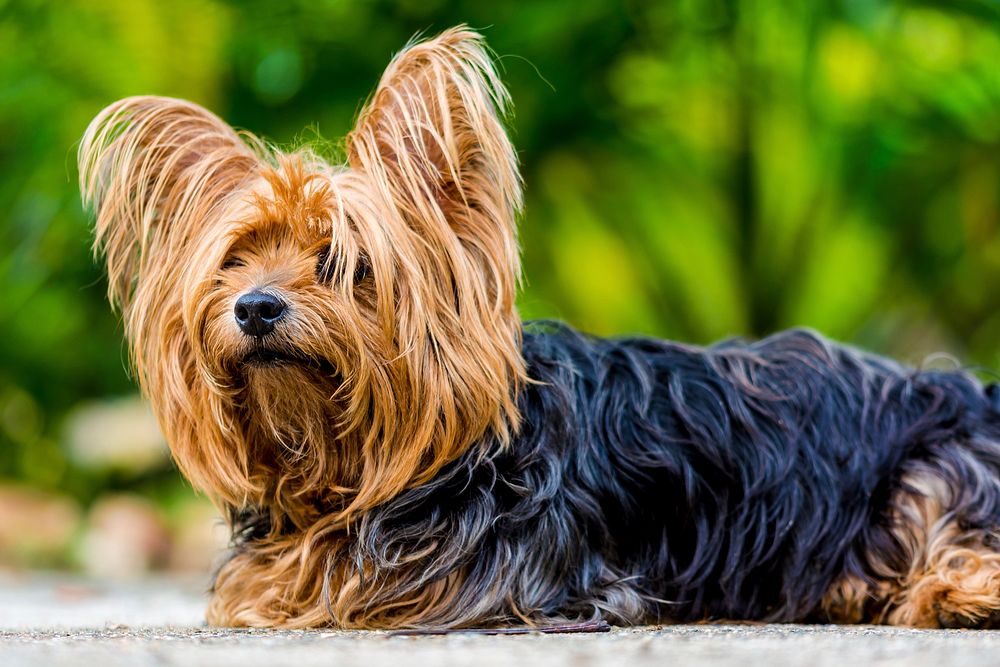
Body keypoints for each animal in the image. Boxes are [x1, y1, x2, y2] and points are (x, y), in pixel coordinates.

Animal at [78, 27, 1000, 632]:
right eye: (235, 260)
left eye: (342, 260)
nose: (256, 307)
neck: (357, 466)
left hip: (931, 468)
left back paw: (958, 595)